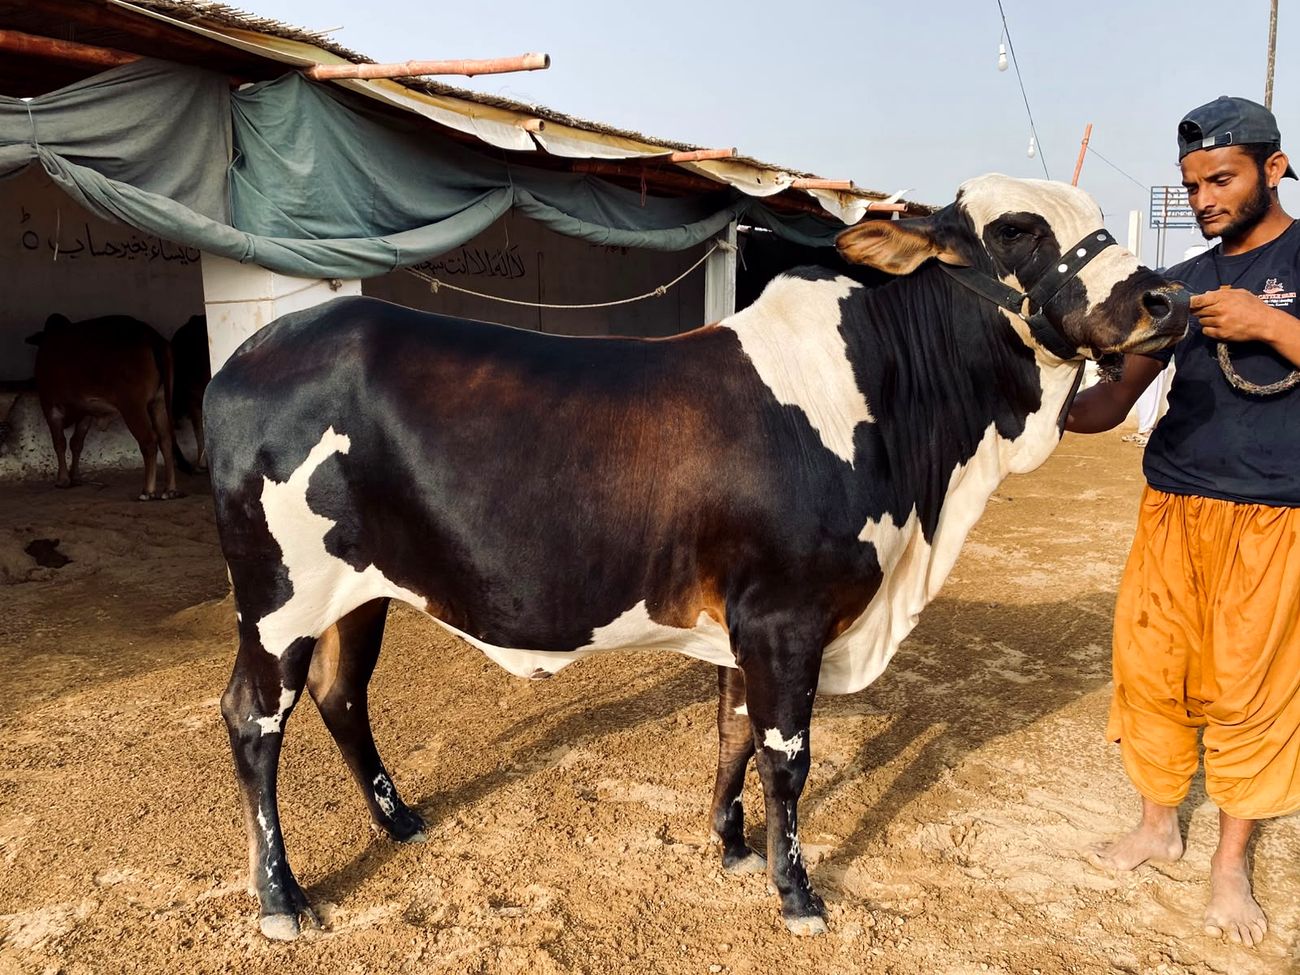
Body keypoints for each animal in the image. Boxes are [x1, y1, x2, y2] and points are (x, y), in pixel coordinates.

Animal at [29, 314, 181, 500]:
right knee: (166, 440)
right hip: (159, 403)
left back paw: (147, 490)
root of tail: (152, 336)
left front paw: (63, 479)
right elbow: (76, 443)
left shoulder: (50, 406)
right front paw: (75, 476)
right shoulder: (86, 412)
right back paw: (170, 489)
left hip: (133, 406)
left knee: (149, 441)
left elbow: (59, 443)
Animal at [205, 174, 1189, 942]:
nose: (1164, 300)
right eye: (1018, 229)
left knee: (341, 695)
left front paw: (731, 844)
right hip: (279, 597)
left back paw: (399, 818)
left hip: (358, 592)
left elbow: (734, 733)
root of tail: (255, 348)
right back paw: (282, 897)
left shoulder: (745, 622)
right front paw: (796, 893)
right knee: (254, 718)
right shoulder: (786, 615)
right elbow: (786, 755)